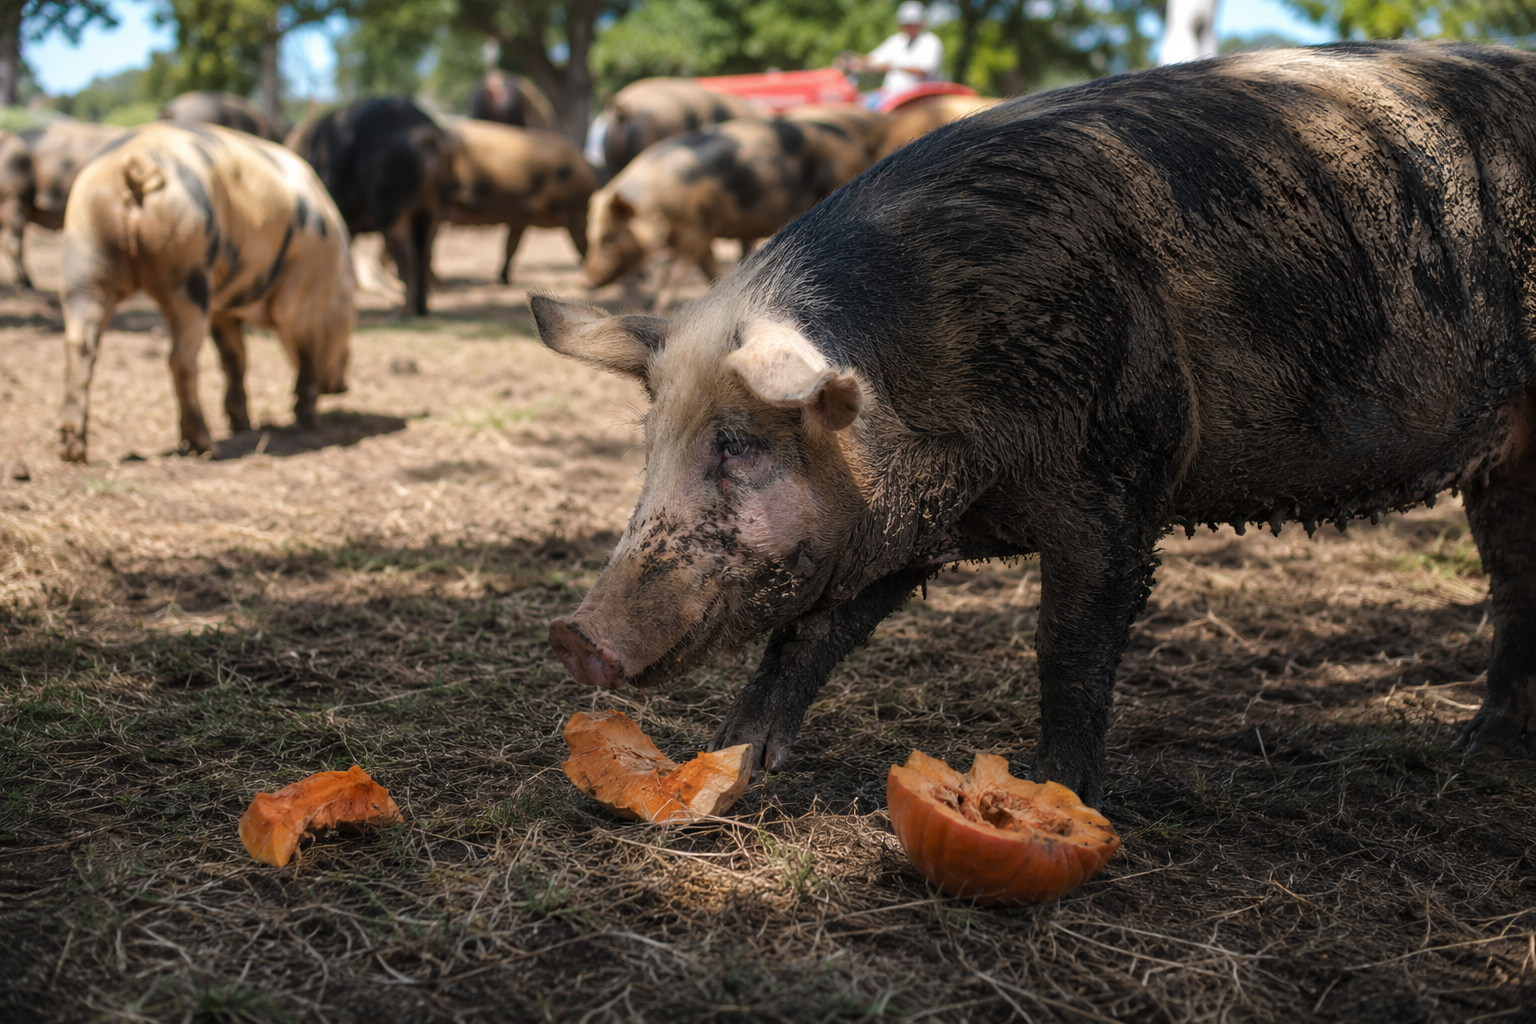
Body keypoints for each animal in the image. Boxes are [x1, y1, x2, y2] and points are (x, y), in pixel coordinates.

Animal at [58, 122, 355, 462]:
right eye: (350, 320)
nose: (343, 387)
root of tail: (134, 166)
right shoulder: (301, 289)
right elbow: (303, 354)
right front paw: (308, 421)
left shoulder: (222, 309)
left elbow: (235, 359)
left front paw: (242, 425)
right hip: (188, 266)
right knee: (181, 358)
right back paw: (206, 446)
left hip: (85, 255)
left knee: (80, 343)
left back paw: (72, 451)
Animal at [287, 97, 451, 316]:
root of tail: (425, 133)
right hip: (433, 210)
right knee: (425, 251)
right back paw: (421, 310)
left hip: (390, 207)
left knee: (407, 255)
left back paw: (401, 313)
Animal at [584, 117, 873, 310]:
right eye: (590, 236)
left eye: (609, 237)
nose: (587, 281)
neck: (658, 209)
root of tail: (855, 145)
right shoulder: (700, 233)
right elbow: (706, 267)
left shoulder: (697, 227)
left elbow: (677, 270)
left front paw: (655, 307)